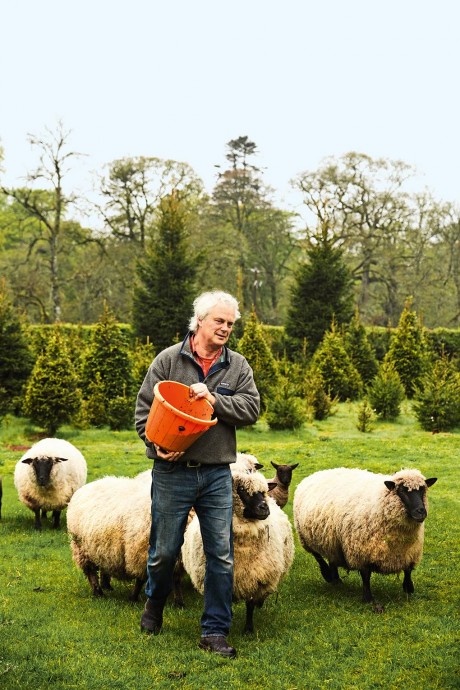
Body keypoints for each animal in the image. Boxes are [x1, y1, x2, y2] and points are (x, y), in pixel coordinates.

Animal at [67, 468, 152, 596]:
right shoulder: (140, 554)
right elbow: (140, 581)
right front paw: (134, 597)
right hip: (82, 548)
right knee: (90, 571)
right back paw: (98, 592)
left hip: (104, 546)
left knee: (105, 566)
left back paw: (106, 586)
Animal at [180, 464, 294, 632]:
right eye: (241, 489)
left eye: (263, 492)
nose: (264, 508)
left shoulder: (255, 577)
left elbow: (250, 605)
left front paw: (248, 630)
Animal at [292, 464, 436, 604]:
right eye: (402, 491)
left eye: (423, 490)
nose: (421, 512)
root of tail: (315, 474)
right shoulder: (361, 551)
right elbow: (366, 576)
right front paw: (368, 598)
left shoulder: (410, 551)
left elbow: (408, 570)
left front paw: (408, 587)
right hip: (305, 537)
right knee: (318, 556)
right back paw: (328, 575)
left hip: (332, 540)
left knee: (332, 557)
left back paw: (336, 580)